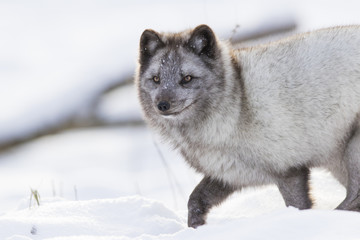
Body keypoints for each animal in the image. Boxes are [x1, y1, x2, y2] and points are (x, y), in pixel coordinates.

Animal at [134, 24, 360, 229]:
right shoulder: (229, 173)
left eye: (187, 78)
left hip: (351, 151)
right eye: (156, 79)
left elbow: (298, 206)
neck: (236, 102)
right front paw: (196, 228)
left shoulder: (289, 171)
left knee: (354, 197)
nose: (162, 105)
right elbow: (195, 199)